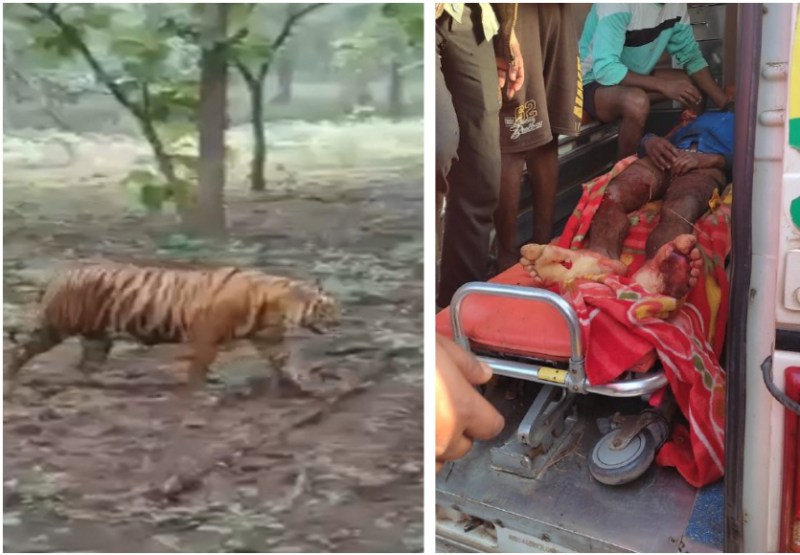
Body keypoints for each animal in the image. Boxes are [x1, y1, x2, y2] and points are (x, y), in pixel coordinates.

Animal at [4, 260, 339, 394]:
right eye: (326, 309)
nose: (340, 323)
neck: (276, 306)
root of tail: (62, 274)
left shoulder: (270, 340)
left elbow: (288, 362)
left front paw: (309, 385)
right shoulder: (207, 337)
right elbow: (199, 367)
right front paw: (200, 391)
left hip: (98, 337)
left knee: (86, 366)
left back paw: (103, 385)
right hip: (56, 327)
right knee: (19, 351)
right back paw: (9, 379)